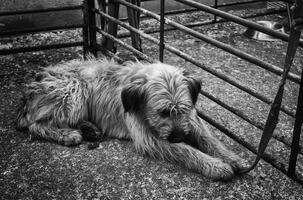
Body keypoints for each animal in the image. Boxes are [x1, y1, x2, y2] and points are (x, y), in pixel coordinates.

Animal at [16, 58, 245, 180]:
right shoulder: (149, 138)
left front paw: (231, 158)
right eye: (162, 112)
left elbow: (209, 139)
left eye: (184, 109)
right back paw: (67, 134)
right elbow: (186, 151)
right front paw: (215, 166)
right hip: (74, 91)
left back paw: (90, 128)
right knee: (36, 125)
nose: (180, 136)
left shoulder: (191, 121)